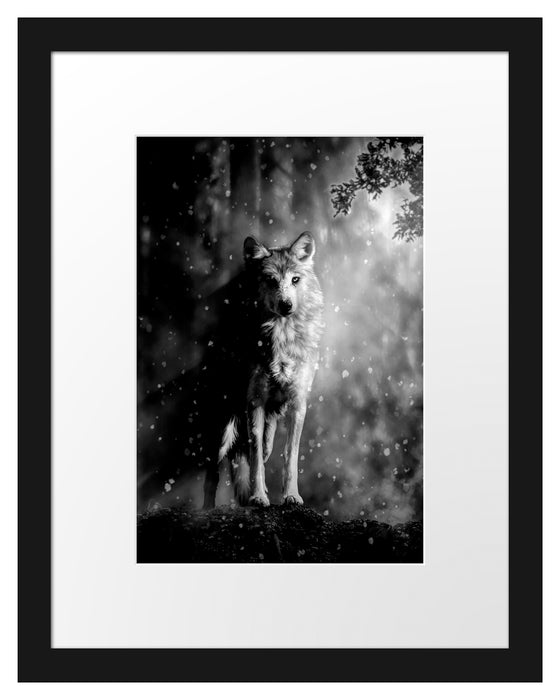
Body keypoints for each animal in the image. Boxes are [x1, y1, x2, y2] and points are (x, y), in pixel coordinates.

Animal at [203, 231, 324, 508]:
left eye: (295, 280)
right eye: (271, 280)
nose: (286, 305)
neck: (282, 336)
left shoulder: (297, 403)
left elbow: (290, 458)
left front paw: (291, 496)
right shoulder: (254, 402)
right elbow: (256, 460)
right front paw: (258, 497)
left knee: (258, 453)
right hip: (222, 429)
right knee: (213, 474)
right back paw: (207, 509)